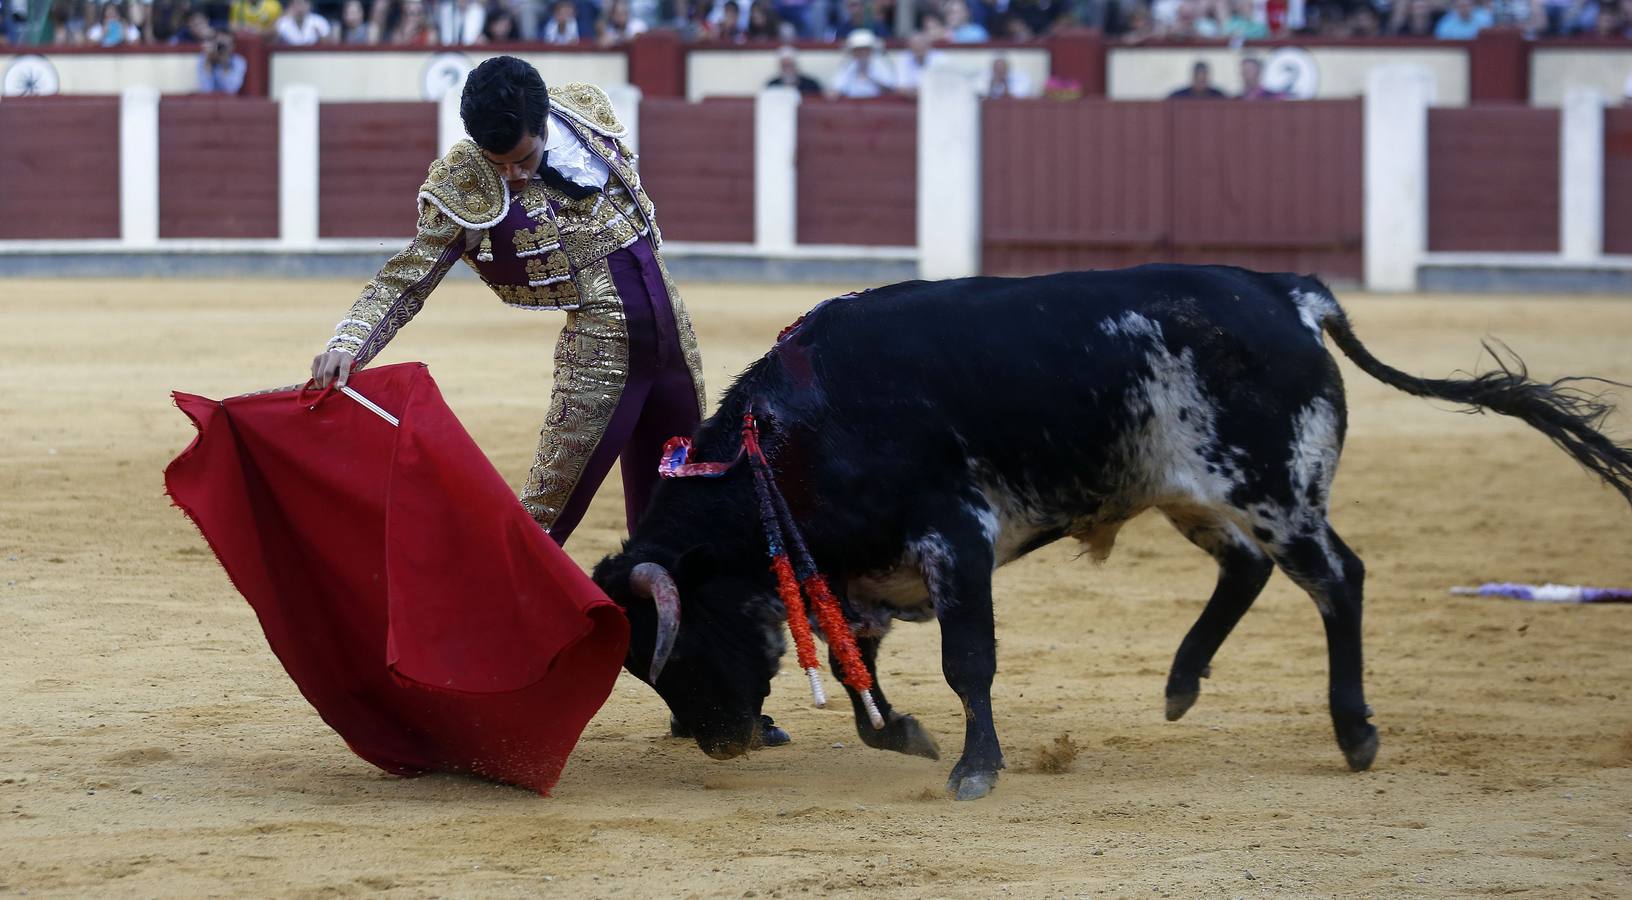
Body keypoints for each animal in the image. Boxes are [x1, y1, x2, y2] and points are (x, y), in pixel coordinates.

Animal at [594, 266, 1625, 803]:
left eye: (681, 647)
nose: (719, 742)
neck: (792, 438)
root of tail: (1285, 292)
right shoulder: (861, 572)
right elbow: (861, 677)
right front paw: (910, 738)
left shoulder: (955, 542)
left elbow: (969, 662)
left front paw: (974, 769)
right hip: (1191, 494)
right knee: (1246, 573)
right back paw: (1180, 683)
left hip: (1276, 492)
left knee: (1338, 578)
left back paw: (1356, 732)